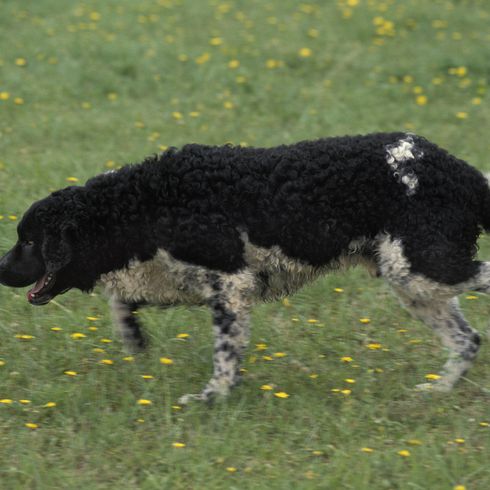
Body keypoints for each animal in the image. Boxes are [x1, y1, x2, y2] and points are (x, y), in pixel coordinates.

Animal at [0, 132, 490, 404]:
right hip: (413, 281)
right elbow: (121, 302)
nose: (1, 268)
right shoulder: (174, 278)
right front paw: (135, 341)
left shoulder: (230, 284)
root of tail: (464, 174)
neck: (143, 204)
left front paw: (211, 398)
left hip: (422, 266)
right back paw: (437, 391)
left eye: (29, 241)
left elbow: (224, 356)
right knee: (467, 339)